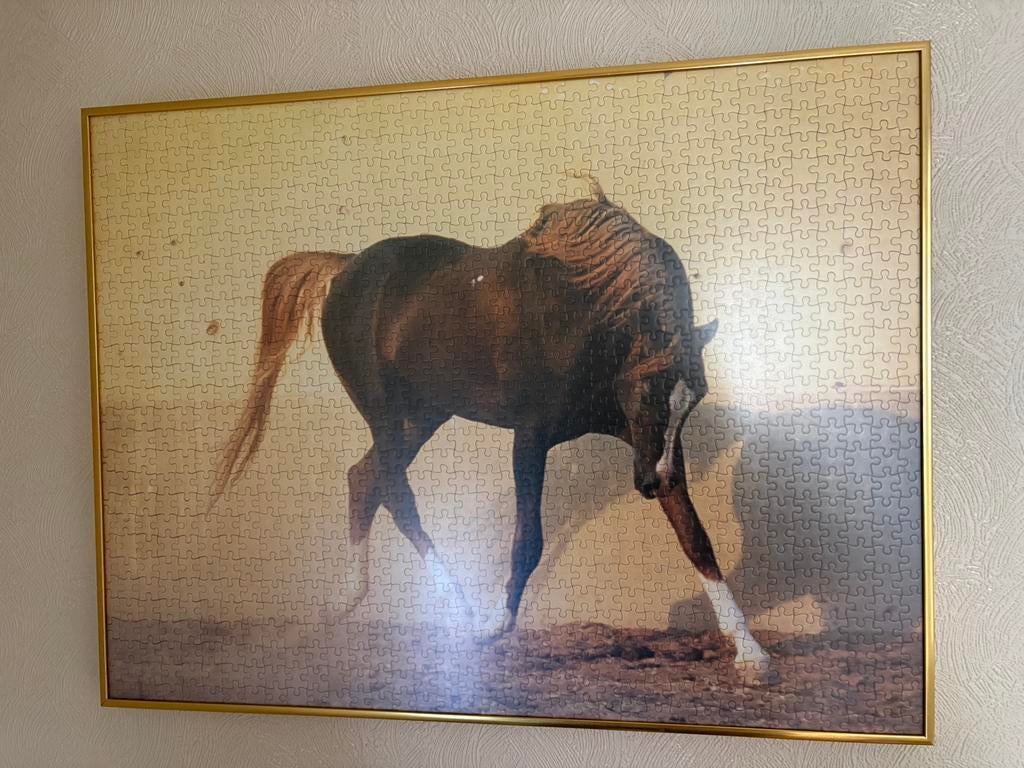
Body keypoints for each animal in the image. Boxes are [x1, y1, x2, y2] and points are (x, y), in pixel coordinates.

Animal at [211, 179, 771, 682]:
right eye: (650, 391)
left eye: (691, 402)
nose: (652, 484)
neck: (583, 315)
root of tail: (345, 267)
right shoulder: (533, 436)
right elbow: (529, 540)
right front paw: (494, 626)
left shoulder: (644, 443)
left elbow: (696, 538)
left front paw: (752, 656)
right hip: (386, 414)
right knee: (394, 490)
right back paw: (461, 613)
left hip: (423, 416)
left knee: (363, 478)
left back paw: (343, 603)